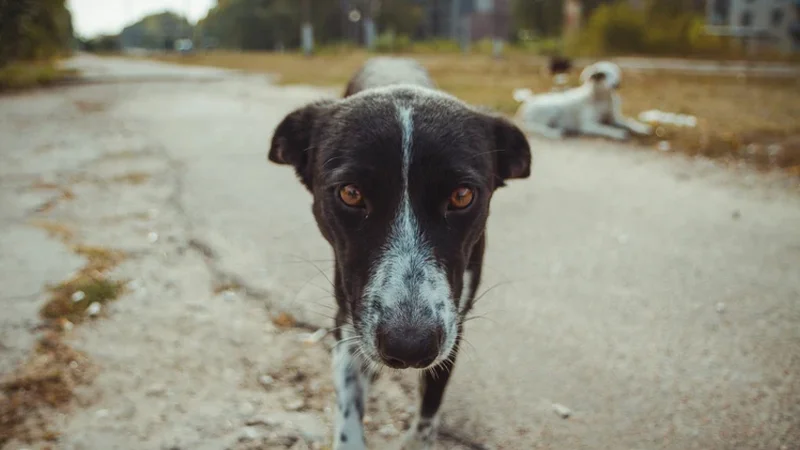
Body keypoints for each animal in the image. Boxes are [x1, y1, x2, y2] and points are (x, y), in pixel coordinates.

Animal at [268, 56, 532, 450]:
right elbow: (349, 407)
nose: (409, 348)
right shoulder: (348, 314)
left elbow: (430, 405)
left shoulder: (454, 322)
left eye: (462, 196)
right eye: (350, 193)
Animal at [516, 60, 652, 140]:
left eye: (615, 72)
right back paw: (554, 132)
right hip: (551, 109)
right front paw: (618, 133)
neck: (603, 98)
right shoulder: (588, 125)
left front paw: (642, 127)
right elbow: (605, 128)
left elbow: (629, 121)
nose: (616, 85)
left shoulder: (614, 118)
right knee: (534, 126)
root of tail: (523, 108)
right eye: (602, 74)